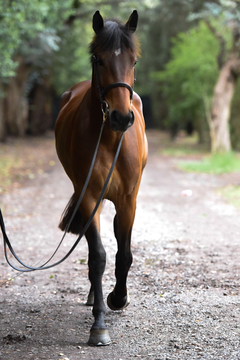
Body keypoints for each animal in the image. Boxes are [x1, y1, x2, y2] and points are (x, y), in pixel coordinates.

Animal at [55, 9, 147, 346]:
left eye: (134, 61)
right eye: (99, 60)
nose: (121, 117)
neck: (109, 138)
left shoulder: (128, 199)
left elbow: (124, 253)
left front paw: (118, 298)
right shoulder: (89, 196)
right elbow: (97, 257)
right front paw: (99, 324)